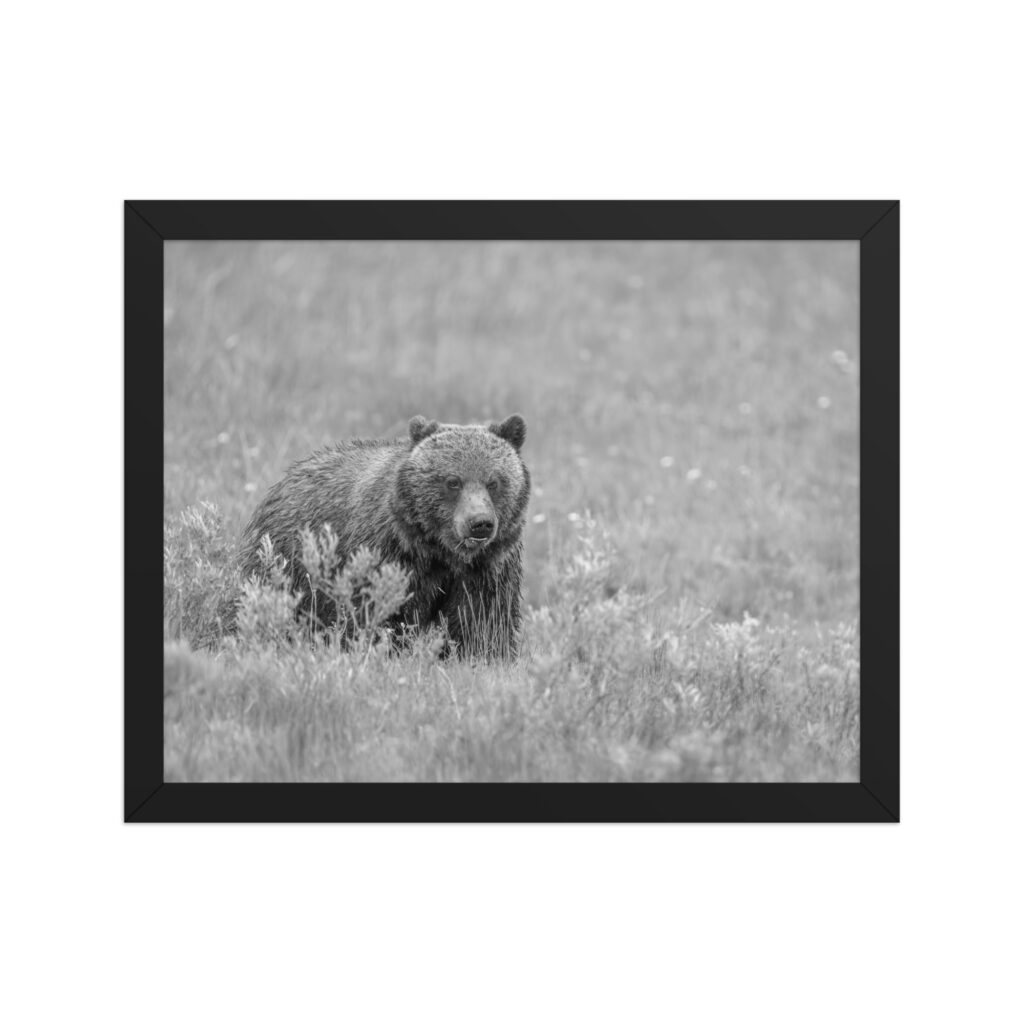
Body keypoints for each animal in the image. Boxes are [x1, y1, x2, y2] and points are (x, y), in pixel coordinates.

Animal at [237, 414, 530, 658]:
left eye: (494, 482)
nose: (479, 523)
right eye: (452, 481)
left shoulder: (487, 567)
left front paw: (484, 656)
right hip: (287, 560)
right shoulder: (387, 553)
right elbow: (378, 611)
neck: (440, 551)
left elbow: (482, 620)